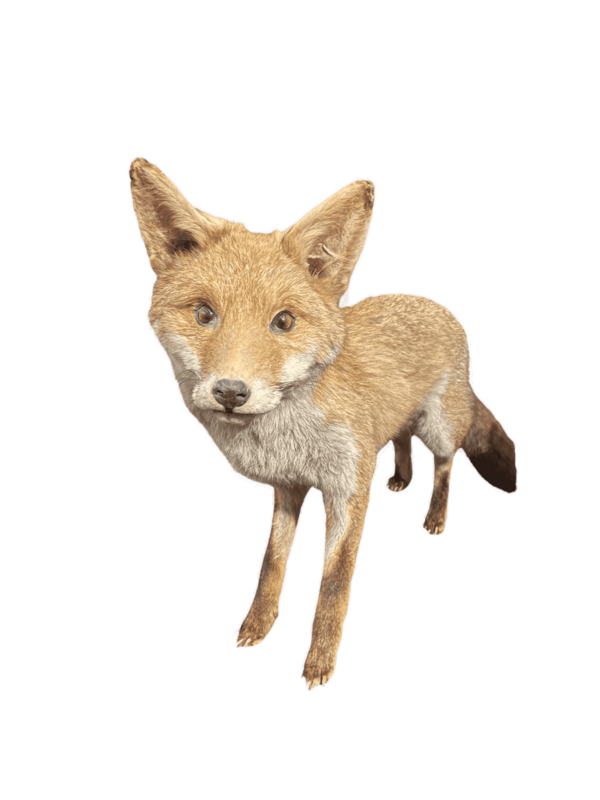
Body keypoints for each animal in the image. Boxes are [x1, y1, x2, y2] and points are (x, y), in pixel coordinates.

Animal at [128, 157, 519, 692]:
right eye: (204, 314)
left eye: (284, 322)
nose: (230, 392)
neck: (290, 434)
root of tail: (431, 300)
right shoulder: (289, 487)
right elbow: (272, 564)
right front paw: (257, 626)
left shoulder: (347, 490)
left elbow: (333, 583)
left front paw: (319, 664)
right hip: (398, 424)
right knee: (401, 438)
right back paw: (400, 478)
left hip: (440, 424)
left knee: (444, 463)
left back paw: (435, 517)